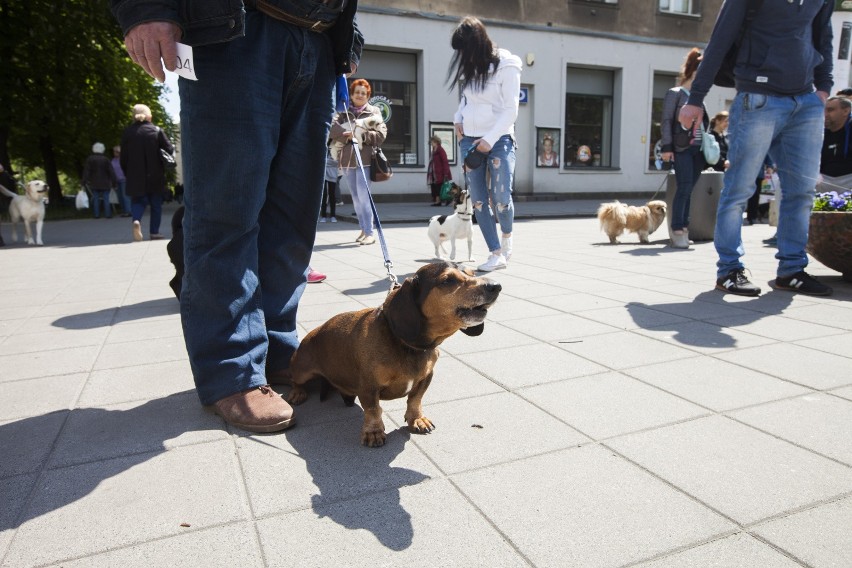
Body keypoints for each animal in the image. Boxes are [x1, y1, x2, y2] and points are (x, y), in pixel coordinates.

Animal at [288, 262, 500, 448]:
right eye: (448, 280)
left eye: (473, 273)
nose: (496, 286)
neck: (408, 345)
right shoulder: (368, 386)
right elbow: (373, 410)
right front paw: (373, 432)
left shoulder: (426, 376)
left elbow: (415, 399)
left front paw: (417, 420)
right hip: (302, 369)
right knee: (296, 380)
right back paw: (297, 393)